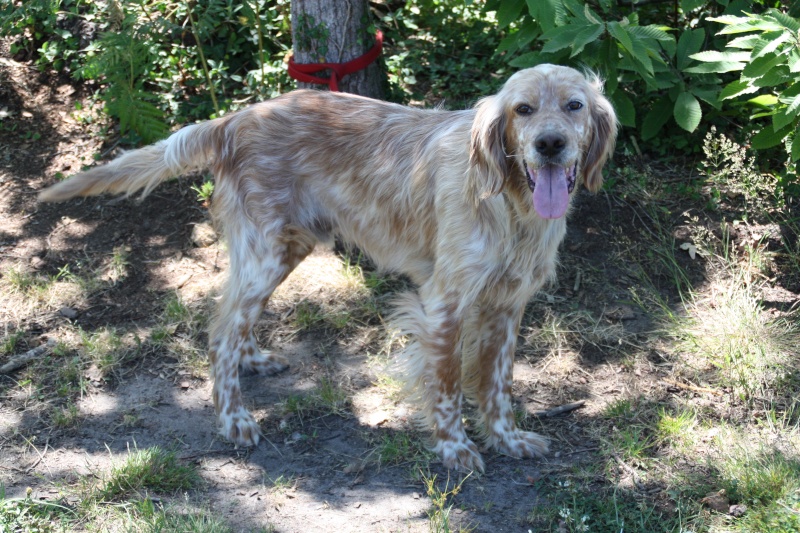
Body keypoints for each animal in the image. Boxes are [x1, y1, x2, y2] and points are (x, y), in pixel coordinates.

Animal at [40, 65, 620, 470]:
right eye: (523, 110)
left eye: (573, 105)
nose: (550, 144)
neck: (511, 206)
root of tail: (235, 119)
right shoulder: (444, 305)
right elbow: (449, 387)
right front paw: (453, 448)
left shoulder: (507, 305)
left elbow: (497, 386)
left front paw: (507, 439)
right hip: (269, 251)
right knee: (221, 329)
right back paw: (235, 418)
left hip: (282, 250)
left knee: (234, 317)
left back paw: (254, 359)